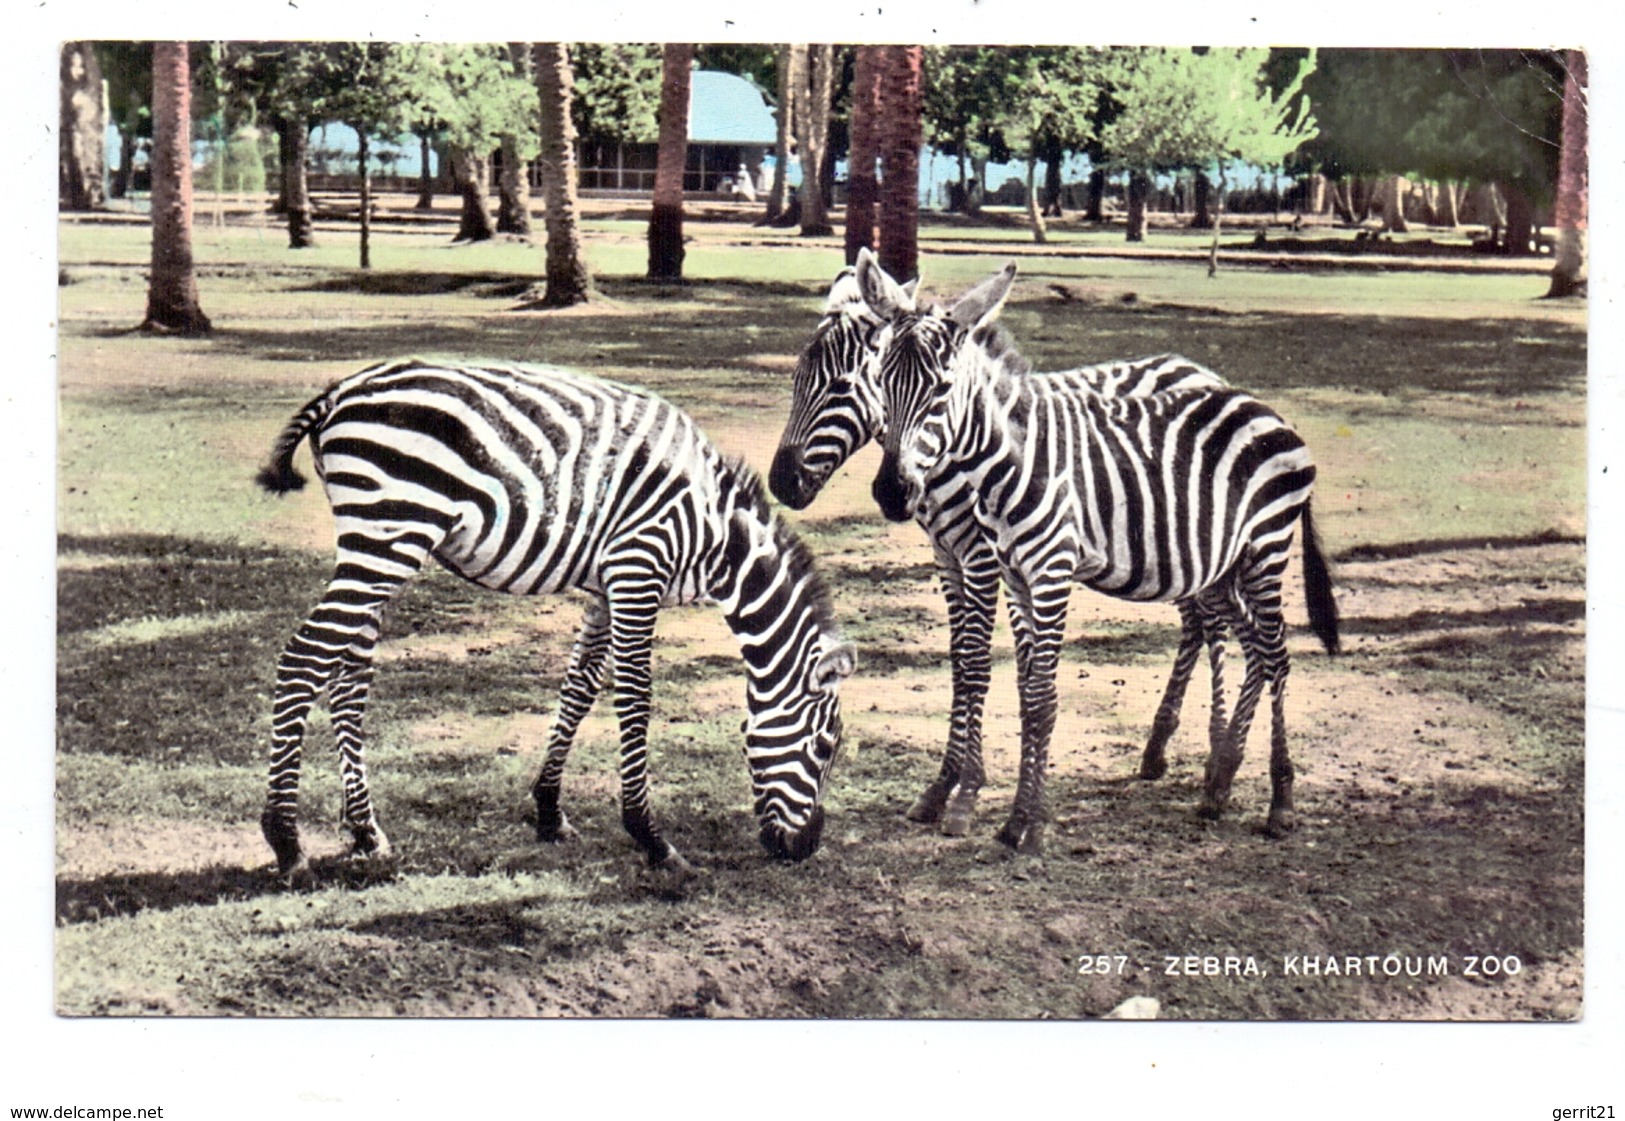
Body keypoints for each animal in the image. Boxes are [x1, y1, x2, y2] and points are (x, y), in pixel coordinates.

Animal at [253, 355, 858, 870]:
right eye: (826, 746)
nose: (805, 849)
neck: (718, 539)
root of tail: (339, 391)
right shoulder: (638, 568)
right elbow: (635, 699)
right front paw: (650, 837)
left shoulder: (605, 588)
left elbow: (580, 688)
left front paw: (548, 809)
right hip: (389, 536)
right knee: (305, 658)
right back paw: (286, 839)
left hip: (375, 544)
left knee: (347, 676)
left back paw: (365, 831)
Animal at [767, 248, 1235, 831]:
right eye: (797, 376)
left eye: (843, 387)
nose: (780, 484)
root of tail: (1200, 368)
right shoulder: (949, 558)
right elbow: (965, 661)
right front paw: (949, 785)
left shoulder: (983, 558)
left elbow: (976, 663)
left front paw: (964, 791)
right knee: (1195, 620)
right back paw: (1156, 750)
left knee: (1211, 622)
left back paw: (1214, 763)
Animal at [858, 258, 1339, 851]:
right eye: (880, 380)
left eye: (943, 389)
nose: (891, 492)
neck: (1010, 462)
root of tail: (1267, 411)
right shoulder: (1015, 573)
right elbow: (1026, 690)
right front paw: (1020, 817)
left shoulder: (1050, 571)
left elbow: (1042, 698)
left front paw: (1027, 825)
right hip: (1227, 563)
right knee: (1254, 649)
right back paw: (1219, 783)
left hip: (1266, 548)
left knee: (1276, 654)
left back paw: (1280, 801)